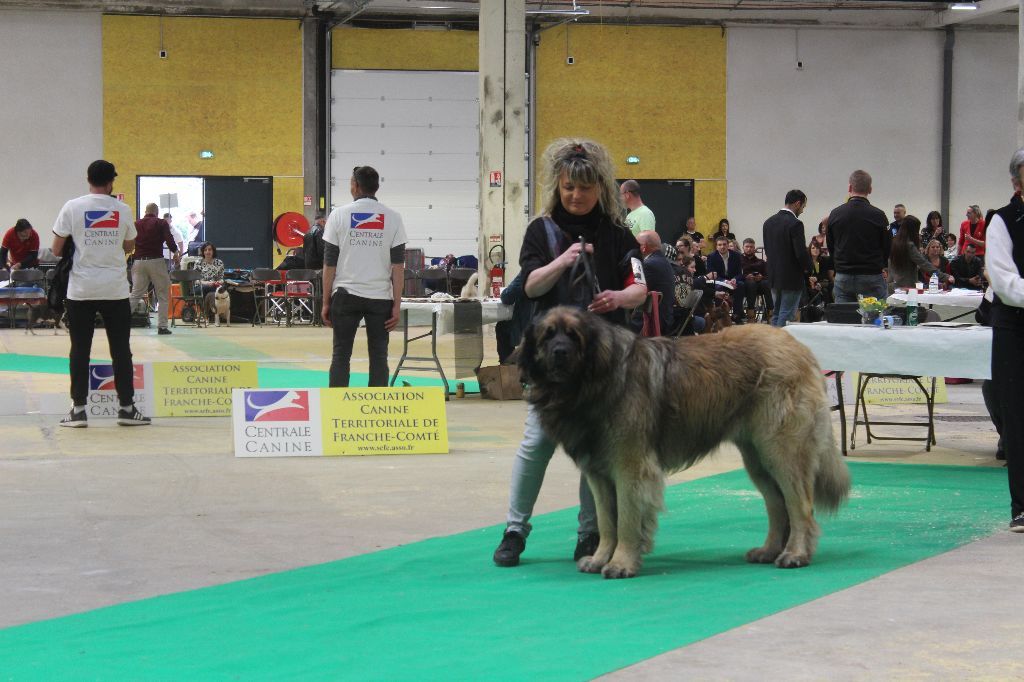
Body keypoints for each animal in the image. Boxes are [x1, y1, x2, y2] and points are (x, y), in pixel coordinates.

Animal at [520, 305, 847, 577]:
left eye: (573, 336)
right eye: (547, 336)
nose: (560, 352)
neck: (595, 380)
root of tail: (799, 347)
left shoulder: (630, 468)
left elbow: (625, 519)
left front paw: (621, 563)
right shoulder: (597, 475)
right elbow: (606, 521)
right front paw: (601, 559)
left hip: (781, 451)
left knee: (799, 505)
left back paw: (795, 554)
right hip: (757, 458)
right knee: (777, 505)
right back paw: (769, 550)